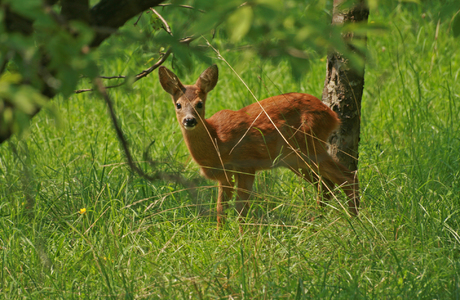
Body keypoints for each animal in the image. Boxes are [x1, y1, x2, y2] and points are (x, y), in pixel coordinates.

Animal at [158, 65, 360, 225]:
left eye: (200, 104)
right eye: (178, 104)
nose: (189, 120)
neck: (216, 141)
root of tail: (331, 115)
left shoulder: (246, 164)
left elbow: (241, 209)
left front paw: (242, 238)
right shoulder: (225, 176)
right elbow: (220, 210)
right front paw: (220, 236)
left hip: (310, 145)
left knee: (347, 177)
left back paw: (354, 219)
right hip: (294, 159)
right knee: (325, 185)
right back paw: (318, 219)